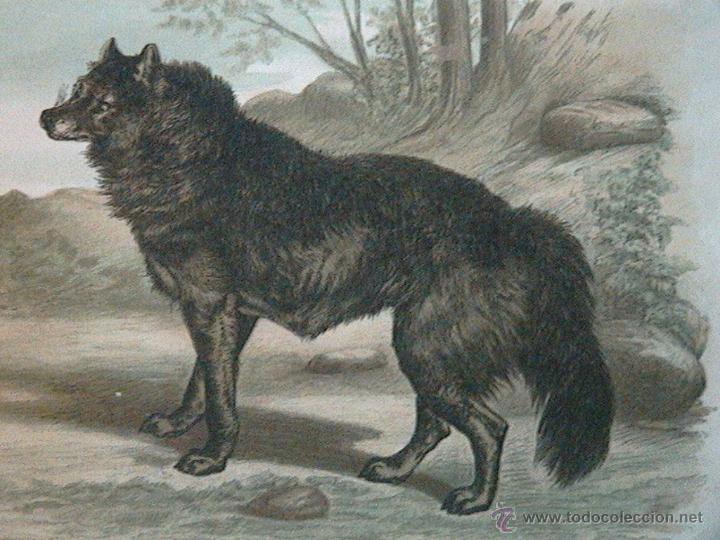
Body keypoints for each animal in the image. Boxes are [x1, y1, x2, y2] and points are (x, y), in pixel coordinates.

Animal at [40, 39, 614, 515]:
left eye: (102, 102)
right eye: (79, 90)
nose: (46, 117)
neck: (192, 159)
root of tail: (514, 221)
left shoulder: (209, 305)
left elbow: (221, 397)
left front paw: (210, 457)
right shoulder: (229, 313)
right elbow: (201, 380)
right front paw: (178, 424)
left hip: (427, 346)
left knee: (489, 428)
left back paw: (474, 499)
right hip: (427, 348)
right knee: (435, 423)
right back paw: (394, 469)